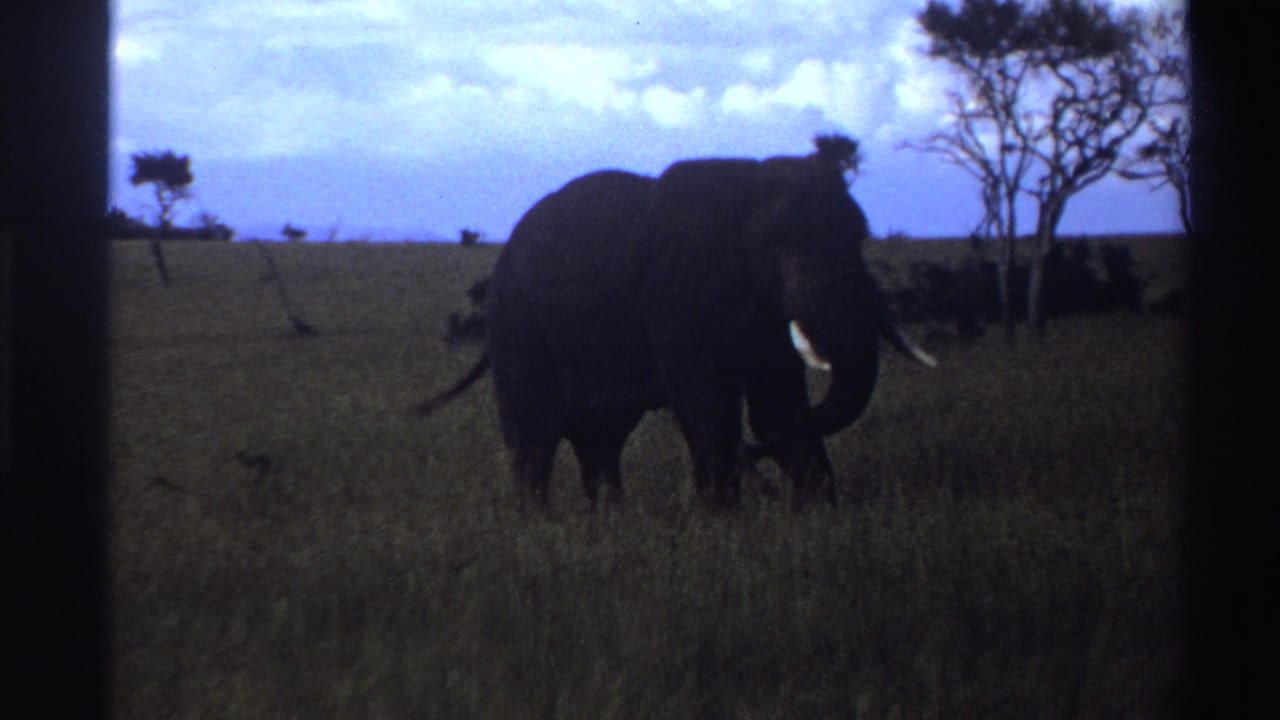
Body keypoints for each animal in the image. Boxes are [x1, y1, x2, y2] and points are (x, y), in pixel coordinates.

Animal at [418, 135, 936, 510]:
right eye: (782, 243)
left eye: (861, 236)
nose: (751, 455)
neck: (747, 182)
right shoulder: (677, 291)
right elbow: (706, 400)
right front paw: (724, 525)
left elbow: (778, 402)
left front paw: (819, 518)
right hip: (517, 322)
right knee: (536, 433)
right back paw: (538, 527)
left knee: (601, 437)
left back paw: (609, 522)